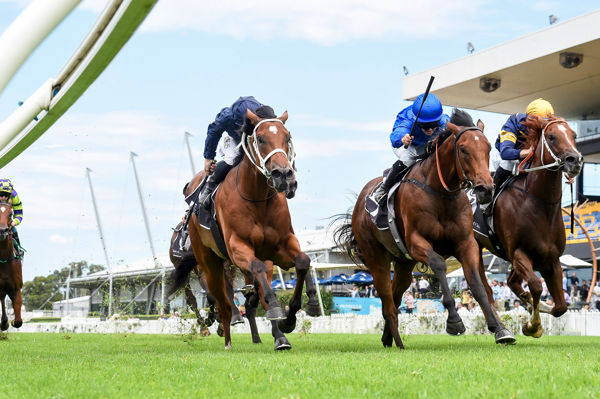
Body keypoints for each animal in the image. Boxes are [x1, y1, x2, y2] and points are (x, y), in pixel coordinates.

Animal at [169, 108, 318, 350]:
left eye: (287, 137)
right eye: (261, 138)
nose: (283, 175)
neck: (257, 198)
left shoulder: (280, 246)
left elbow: (303, 261)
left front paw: (291, 318)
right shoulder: (237, 247)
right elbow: (257, 270)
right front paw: (277, 309)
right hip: (208, 263)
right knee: (219, 299)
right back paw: (226, 335)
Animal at [336, 110, 512, 350]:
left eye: (487, 148)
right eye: (464, 149)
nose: (485, 189)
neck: (440, 192)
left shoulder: (466, 243)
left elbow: (477, 285)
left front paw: (498, 328)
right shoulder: (416, 242)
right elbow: (438, 264)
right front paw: (454, 321)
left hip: (403, 264)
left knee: (395, 295)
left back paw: (387, 338)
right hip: (376, 259)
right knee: (388, 302)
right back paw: (398, 342)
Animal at [474, 116, 580, 338]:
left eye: (573, 135)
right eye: (551, 136)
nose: (575, 160)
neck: (538, 203)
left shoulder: (551, 259)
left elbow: (561, 307)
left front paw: (536, 311)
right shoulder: (518, 253)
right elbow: (536, 286)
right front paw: (533, 325)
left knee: (511, 282)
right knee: (486, 289)